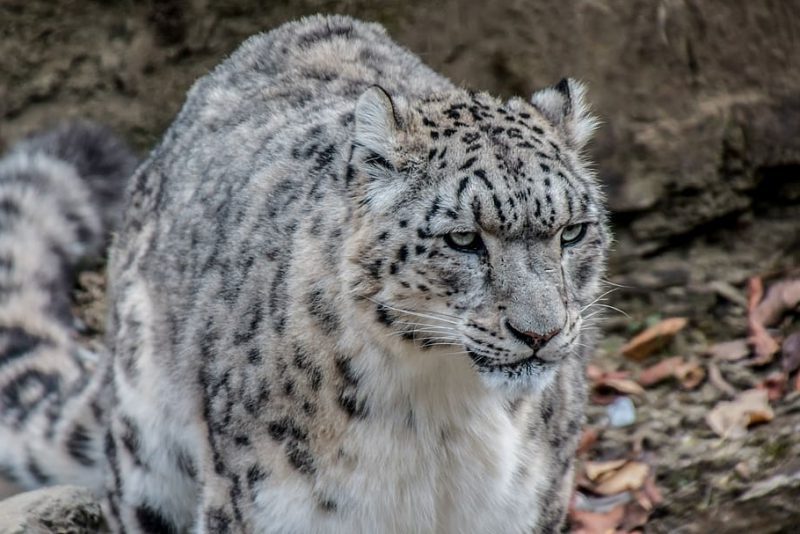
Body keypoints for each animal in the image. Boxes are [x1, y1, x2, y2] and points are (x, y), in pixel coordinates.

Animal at [0, 14, 609, 534]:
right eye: (464, 238)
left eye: (572, 231)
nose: (540, 333)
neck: (442, 413)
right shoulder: (261, 508)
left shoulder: (529, 506)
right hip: (146, 451)